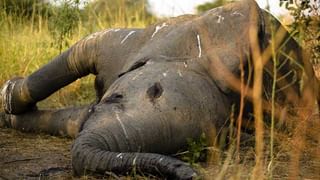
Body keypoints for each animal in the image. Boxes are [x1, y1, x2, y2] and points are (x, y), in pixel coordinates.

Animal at [0, 0, 318, 179]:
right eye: (154, 89)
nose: (190, 174)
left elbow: (76, 120)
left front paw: (9, 117)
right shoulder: (135, 41)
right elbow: (80, 53)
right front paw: (7, 96)